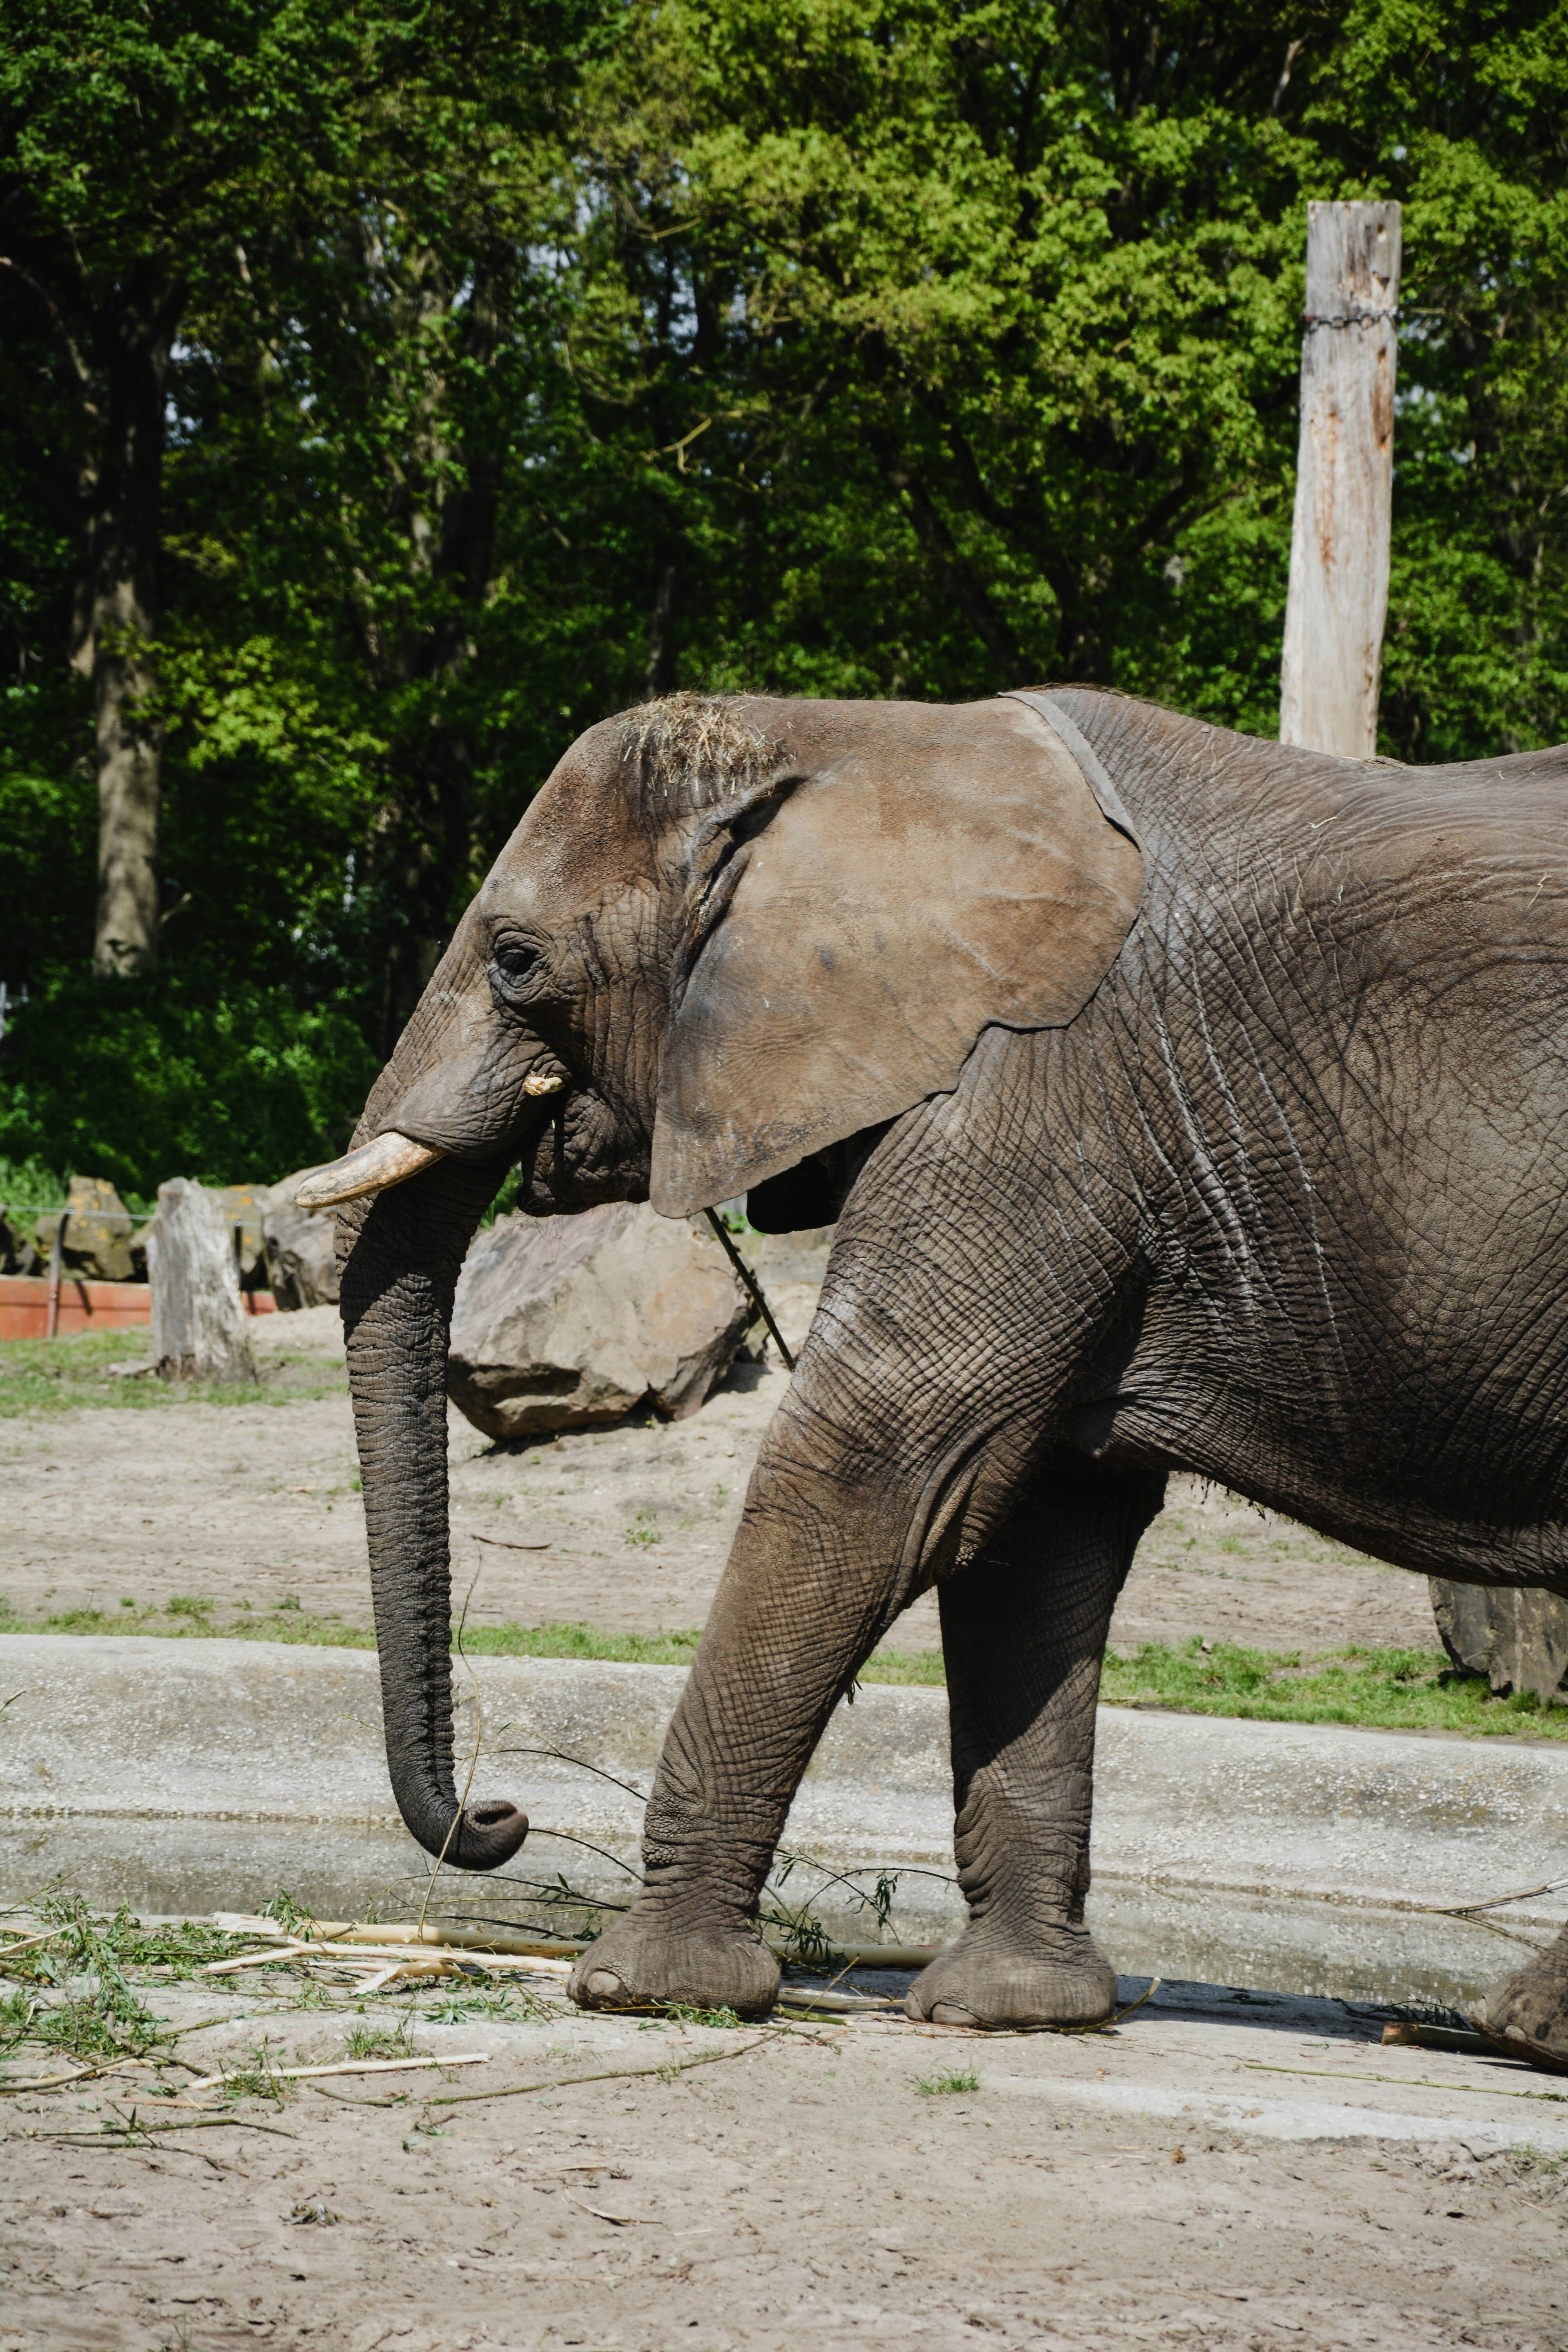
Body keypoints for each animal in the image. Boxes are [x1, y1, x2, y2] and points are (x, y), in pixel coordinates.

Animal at [298, 686, 1568, 2071]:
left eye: (518, 958)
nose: (499, 1814)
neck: (858, 736)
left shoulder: (1030, 1088)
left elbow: (877, 1467)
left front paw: (645, 1990)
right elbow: (1029, 1529)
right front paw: (1009, 2012)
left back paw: (1524, 2029)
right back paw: (1529, 2027)